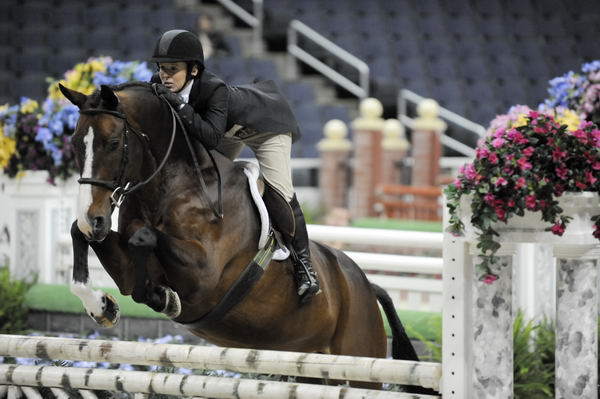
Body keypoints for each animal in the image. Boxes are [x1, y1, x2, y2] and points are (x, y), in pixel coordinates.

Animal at [57, 83, 426, 392]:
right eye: (75, 144)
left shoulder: (203, 275)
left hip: (358, 362)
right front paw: (103, 307)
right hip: (306, 364)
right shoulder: (124, 260)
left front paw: (163, 297)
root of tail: (367, 285)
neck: (168, 185)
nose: (94, 219)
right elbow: (88, 239)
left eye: (113, 144)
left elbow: (144, 239)